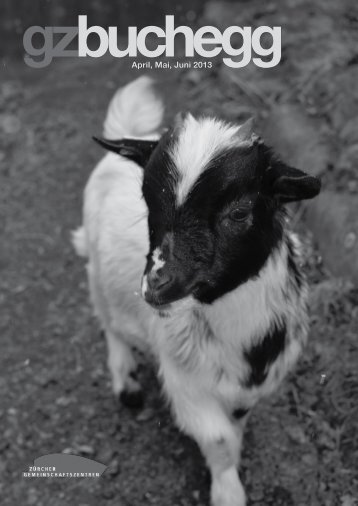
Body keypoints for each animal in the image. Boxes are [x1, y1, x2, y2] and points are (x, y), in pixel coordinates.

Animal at [73, 76, 322, 506]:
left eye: (239, 212)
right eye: (147, 199)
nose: (157, 284)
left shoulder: (249, 387)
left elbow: (234, 429)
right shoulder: (186, 383)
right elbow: (218, 440)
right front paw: (228, 491)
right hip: (96, 275)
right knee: (110, 325)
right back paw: (126, 381)